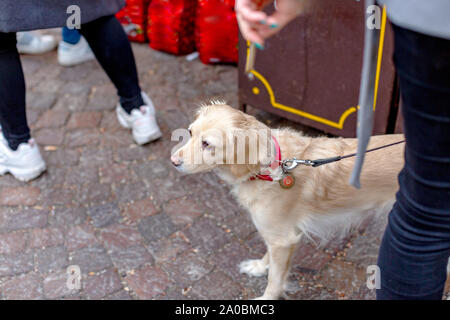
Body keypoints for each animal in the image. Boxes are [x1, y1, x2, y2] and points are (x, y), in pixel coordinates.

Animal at [171, 102, 402, 300]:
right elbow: (269, 259)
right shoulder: (281, 234)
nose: (173, 161)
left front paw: (266, 298)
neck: (269, 168)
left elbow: (275, 279)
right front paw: (259, 267)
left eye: (206, 144)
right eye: (190, 133)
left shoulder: (282, 239)